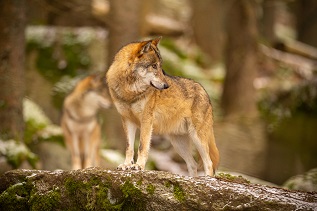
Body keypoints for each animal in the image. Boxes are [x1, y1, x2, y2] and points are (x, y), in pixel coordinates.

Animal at [105, 37, 218, 176]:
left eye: (160, 66)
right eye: (154, 66)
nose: (166, 86)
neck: (130, 92)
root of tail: (205, 92)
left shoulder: (146, 120)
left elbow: (142, 146)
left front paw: (138, 166)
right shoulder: (127, 120)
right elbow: (129, 147)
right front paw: (126, 165)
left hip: (197, 138)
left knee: (209, 163)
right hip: (178, 143)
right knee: (193, 164)